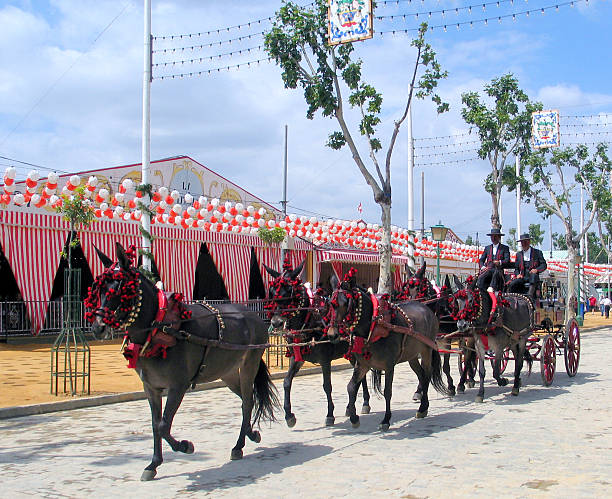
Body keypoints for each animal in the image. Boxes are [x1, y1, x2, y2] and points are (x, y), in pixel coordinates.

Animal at [85, 244, 278, 482]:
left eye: (121, 287)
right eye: (99, 288)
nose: (98, 327)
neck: (159, 327)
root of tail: (254, 316)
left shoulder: (178, 386)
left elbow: (163, 425)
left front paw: (185, 446)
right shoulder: (151, 388)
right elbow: (155, 424)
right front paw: (153, 464)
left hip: (249, 364)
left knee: (248, 402)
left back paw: (239, 444)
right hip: (228, 372)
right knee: (246, 399)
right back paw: (250, 435)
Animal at [326, 270, 450, 430]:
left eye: (347, 303)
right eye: (331, 303)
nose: (332, 334)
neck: (374, 325)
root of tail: (427, 309)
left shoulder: (389, 366)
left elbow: (387, 392)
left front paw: (386, 419)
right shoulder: (363, 364)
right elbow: (351, 387)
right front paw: (354, 418)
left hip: (427, 350)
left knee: (427, 375)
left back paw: (423, 407)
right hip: (412, 356)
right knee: (422, 376)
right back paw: (424, 406)